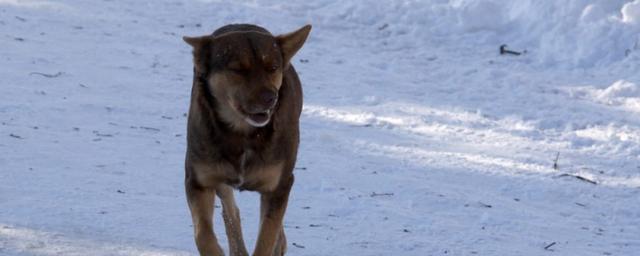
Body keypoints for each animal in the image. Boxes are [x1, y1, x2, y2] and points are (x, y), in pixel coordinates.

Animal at [181, 24, 312, 256]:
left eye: (273, 68)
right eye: (238, 69)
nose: (270, 98)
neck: (243, 133)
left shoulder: (279, 185)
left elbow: (267, 235)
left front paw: (272, 243)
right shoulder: (198, 180)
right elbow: (203, 234)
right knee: (231, 211)